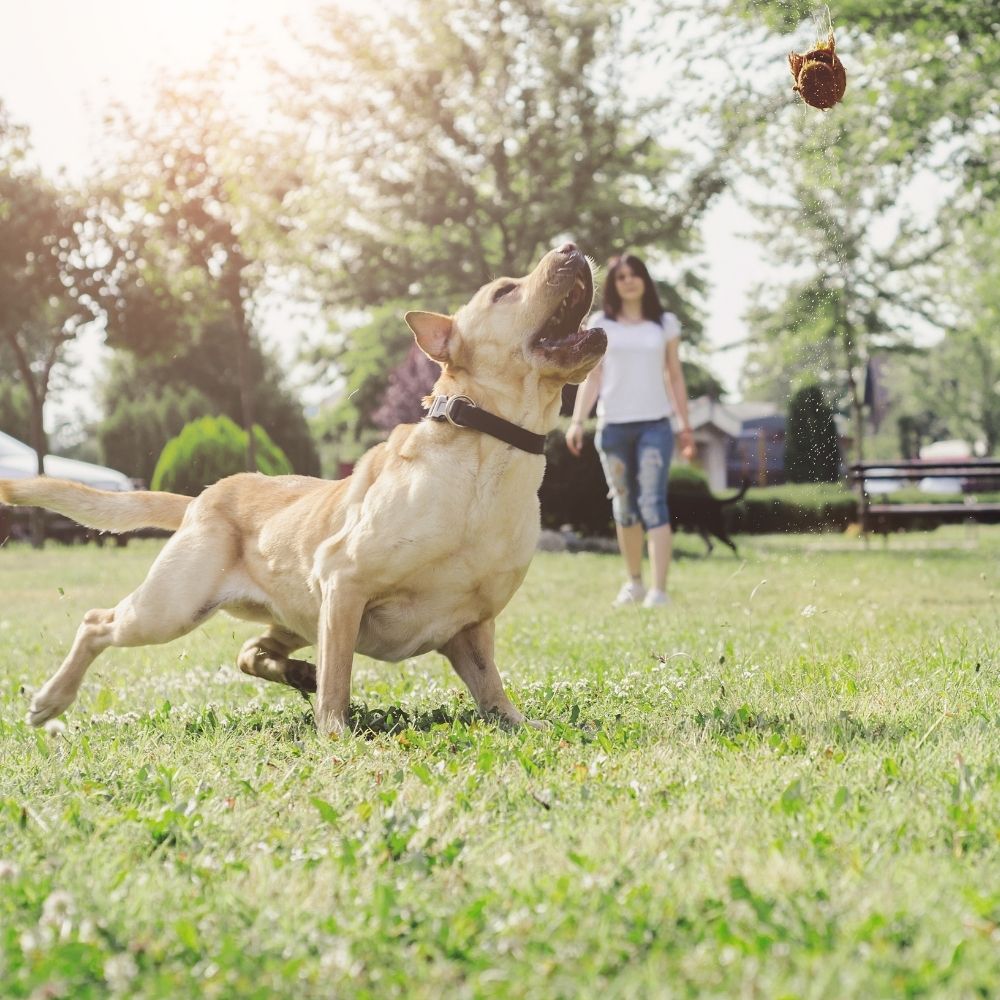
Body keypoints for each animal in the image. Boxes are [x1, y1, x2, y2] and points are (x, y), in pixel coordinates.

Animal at [0, 244, 604, 736]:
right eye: (504, 291)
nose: (573, 248)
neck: (486, 459)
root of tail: (203, 497)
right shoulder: (344, 581)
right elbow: (340, 676)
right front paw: (334, 731)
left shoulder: (472, 627)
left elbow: (493, 690)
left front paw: (524, 724)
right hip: (173, 608)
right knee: (97, 624)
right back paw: (51, 701)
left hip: (290, 613)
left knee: (250, 651)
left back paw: (296, 673)